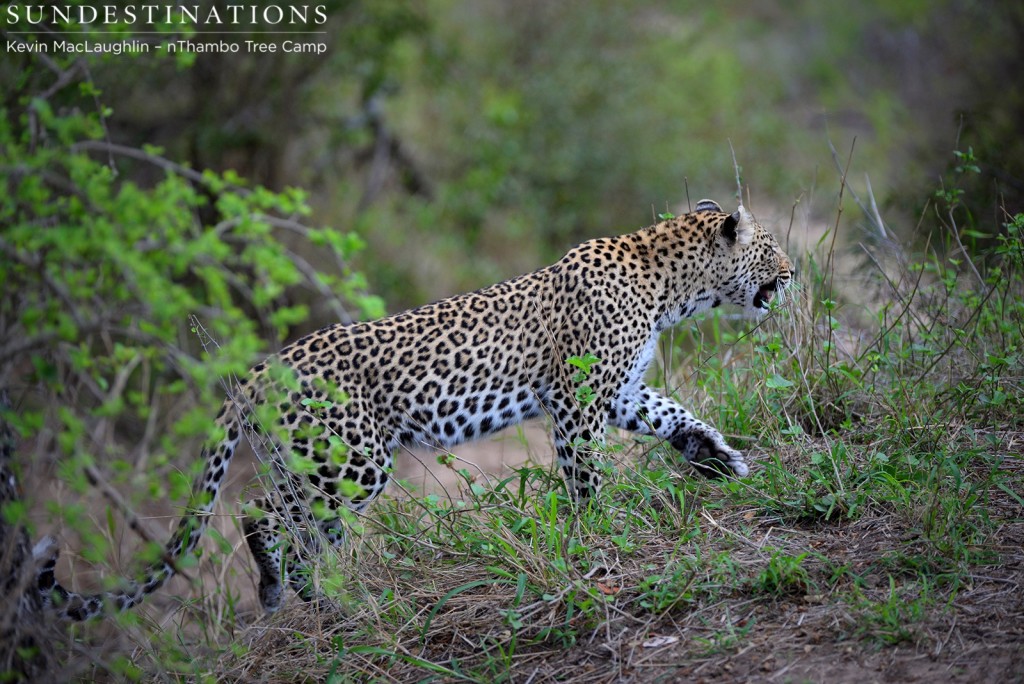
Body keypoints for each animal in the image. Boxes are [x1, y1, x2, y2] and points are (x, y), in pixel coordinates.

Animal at [37, 198, 790, 618]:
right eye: (772, 248)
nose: (793, 274)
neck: (672, 287)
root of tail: (254, 374)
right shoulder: (578, 401)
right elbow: (587, 477)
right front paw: (598, 534)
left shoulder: (623, 390)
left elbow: (675, 416)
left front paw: (718, 458)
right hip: (350, 463)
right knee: (264, 517)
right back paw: (305, 597)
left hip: (306, 466)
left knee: (291, 529)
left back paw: (309, 600)